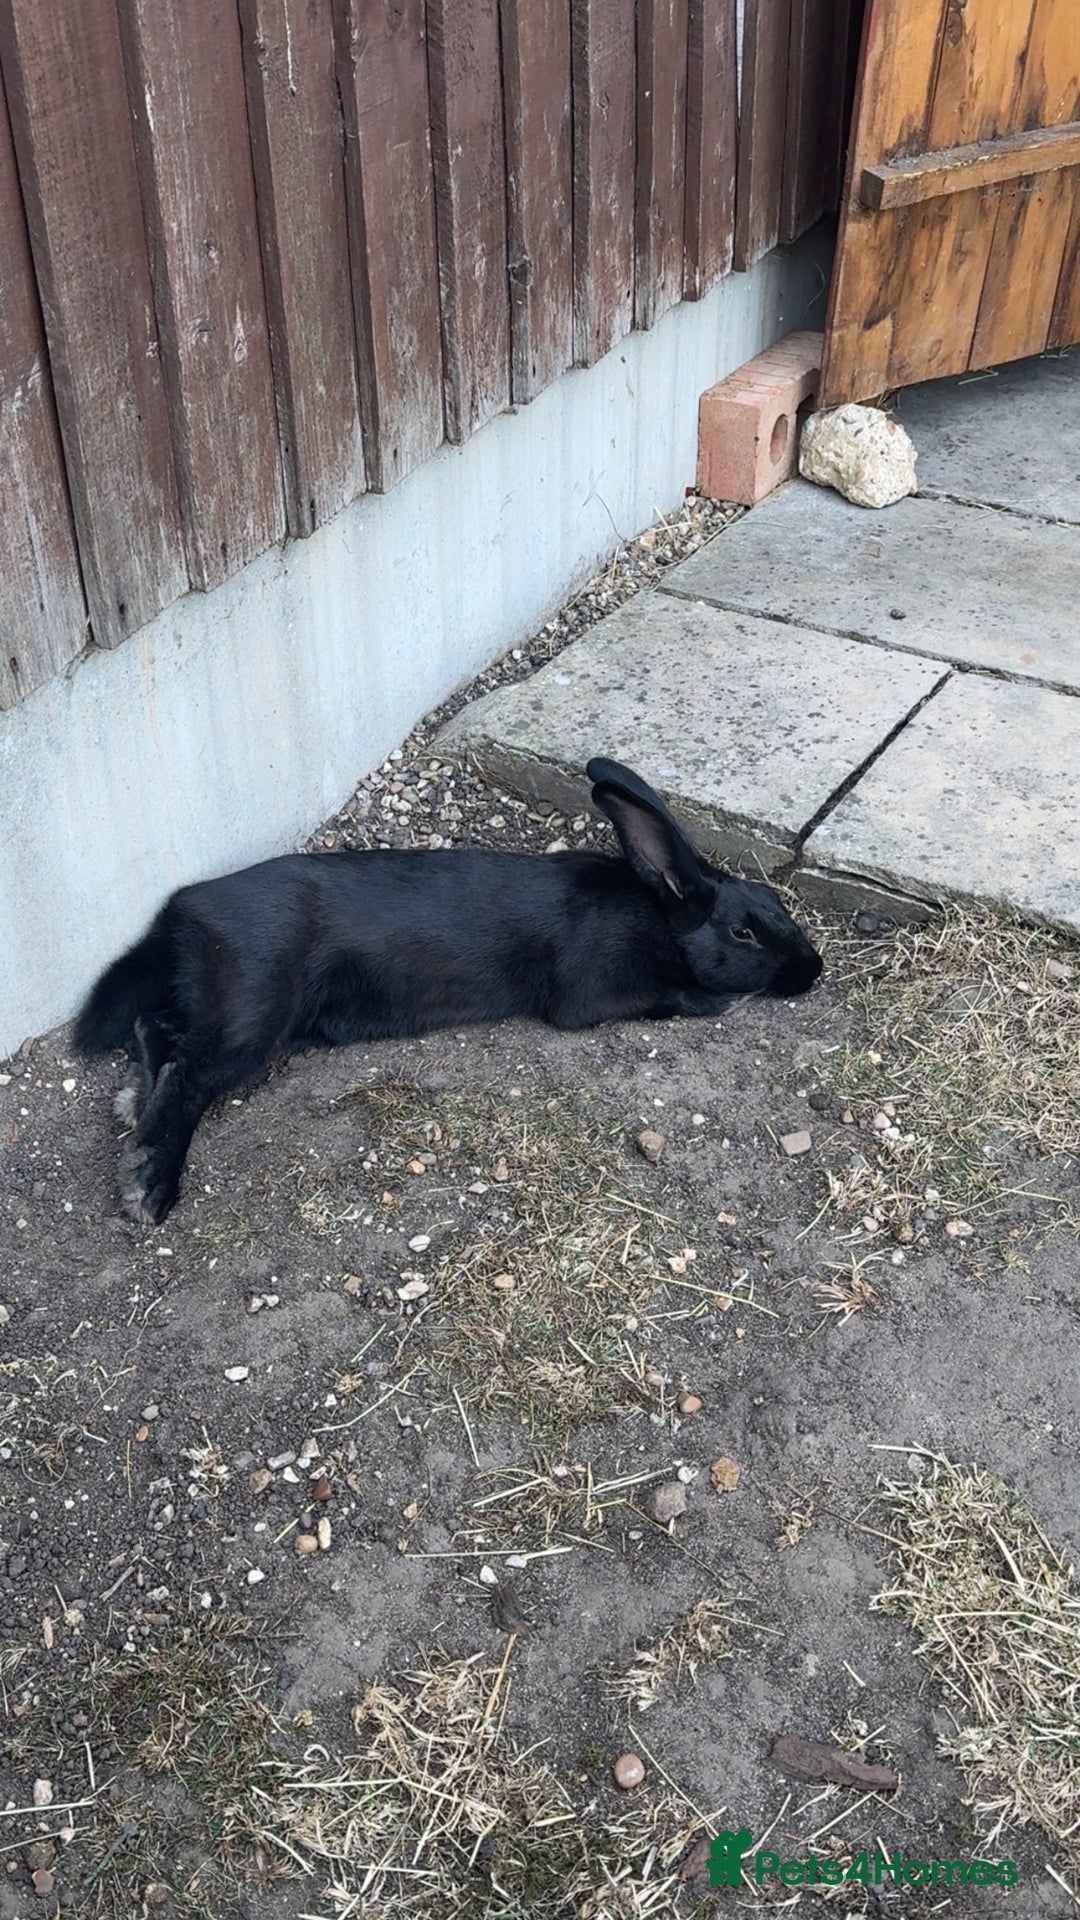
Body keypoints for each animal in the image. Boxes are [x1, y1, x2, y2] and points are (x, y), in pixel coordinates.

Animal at [75, 756, 823, 1224]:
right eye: (745, 932)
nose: (812, 971)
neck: (660, 920)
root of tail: (183, 911)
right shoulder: (592, 994)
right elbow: (672, 998)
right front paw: (721, 999)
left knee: (156, 1032)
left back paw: (130, 1105)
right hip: (256, 1006)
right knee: (189, 1072)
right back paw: (149, 1185)